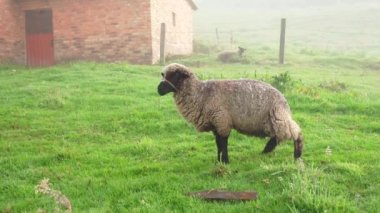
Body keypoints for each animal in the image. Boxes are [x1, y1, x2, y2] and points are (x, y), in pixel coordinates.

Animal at [157, 62, 302, 163]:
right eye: (163, 75)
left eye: (175, 75)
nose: (159, 89)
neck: (201, 94)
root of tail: (282, 98)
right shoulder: (216, 124)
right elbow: (218, 143)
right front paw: (219, 161)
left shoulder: (222, 121)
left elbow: (223, 143)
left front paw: (225, 161)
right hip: (270, 121)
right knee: (279, 136)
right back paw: (267, 150)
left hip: (278, 116)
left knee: (295, 132)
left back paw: (297, 155)